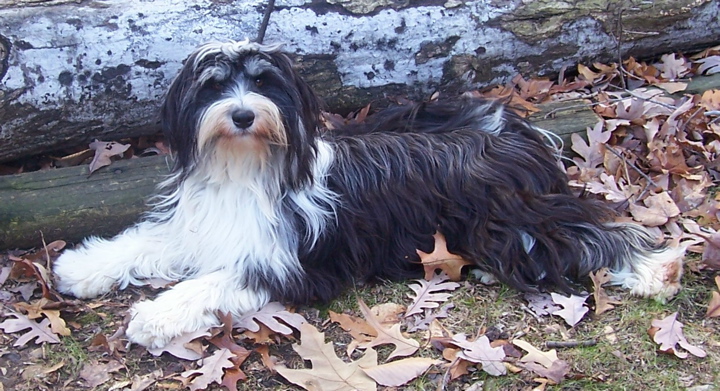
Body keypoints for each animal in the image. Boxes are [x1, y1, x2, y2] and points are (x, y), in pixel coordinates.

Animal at [53, 40, 684, 350]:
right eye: (214, 86)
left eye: (265, 84)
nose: (242, 113)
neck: (246, 165)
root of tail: (505, 127)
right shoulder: (204, 226)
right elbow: (146, 241)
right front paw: (83, 266)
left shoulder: (289, 261)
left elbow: (212, 281)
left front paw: (154, 315)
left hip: (508, 222)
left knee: (585, 233)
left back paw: (657, 266)